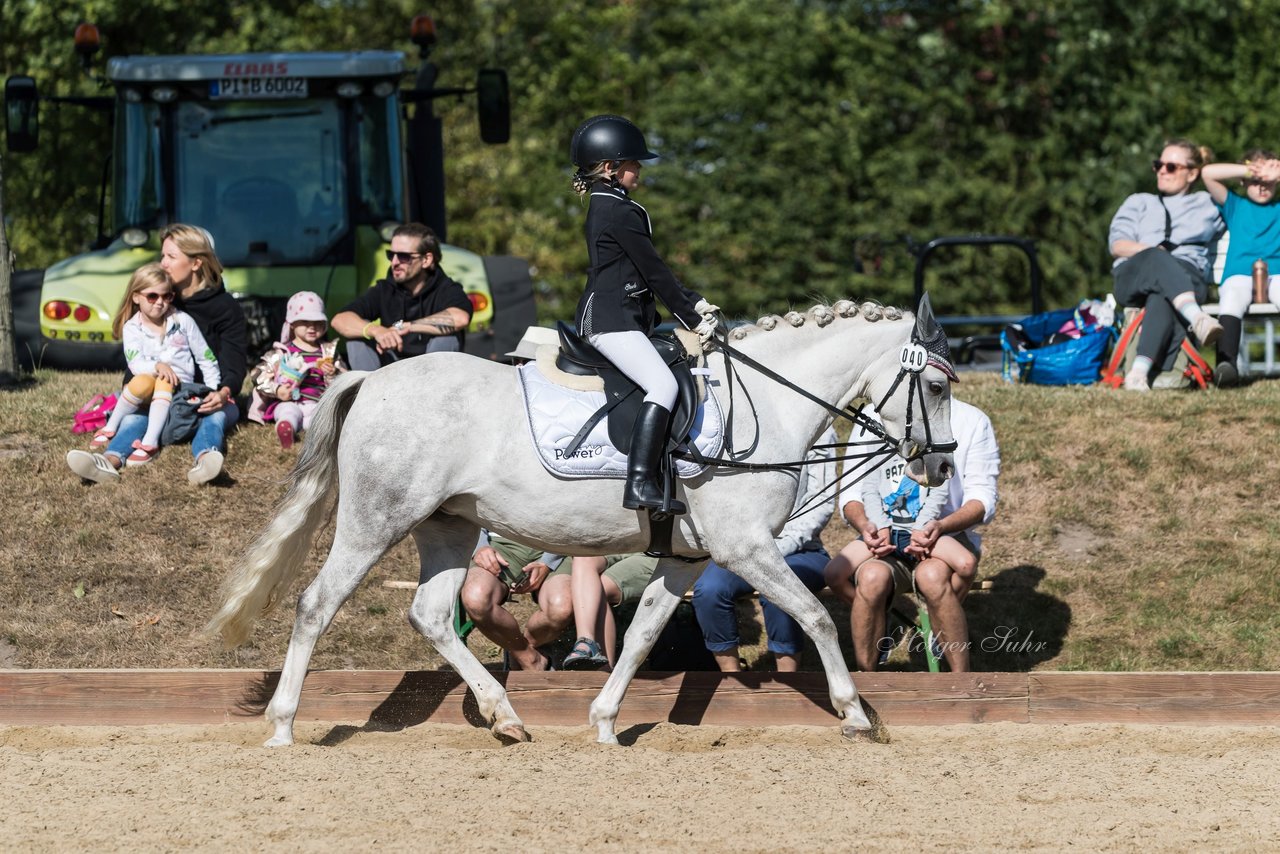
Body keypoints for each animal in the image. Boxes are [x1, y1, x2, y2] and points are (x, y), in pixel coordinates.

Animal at [207, 297, 952, 742]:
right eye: (939, 386)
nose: (941, 468)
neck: (765, 402)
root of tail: (371, 380)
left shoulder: (687, 558)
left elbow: (644, 633)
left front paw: (604, 720)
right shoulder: (746, 549)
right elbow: (818, 615)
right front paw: (857, 714)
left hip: (447, 525)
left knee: (429, 614)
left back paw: (506, 716)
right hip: (375, 520)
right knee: (316, 603)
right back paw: (283, 725)